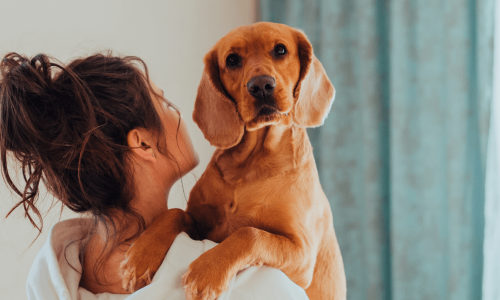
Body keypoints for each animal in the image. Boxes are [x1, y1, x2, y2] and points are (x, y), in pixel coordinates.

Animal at [121, 22, 348, 298]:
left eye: (280, 50)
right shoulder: (198, 224)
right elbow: (174, 213)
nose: (261, 85)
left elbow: (249, 234)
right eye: (232, 60)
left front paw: (207, 271)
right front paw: (141, 256)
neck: (251, 164)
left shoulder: (302, 253)